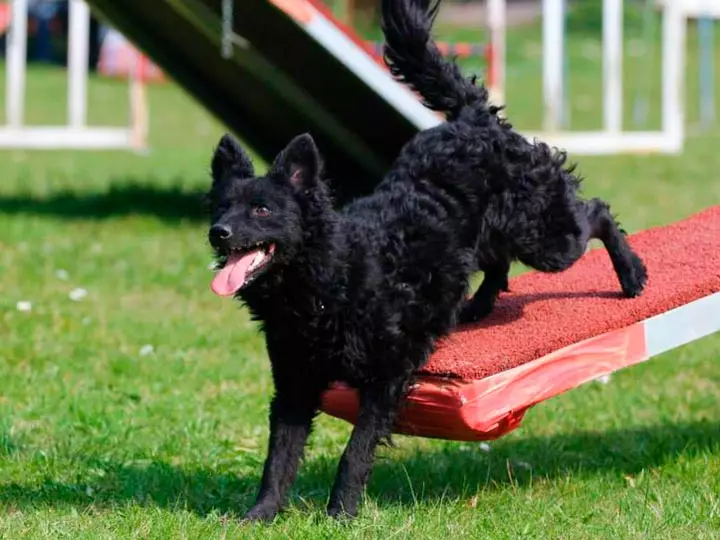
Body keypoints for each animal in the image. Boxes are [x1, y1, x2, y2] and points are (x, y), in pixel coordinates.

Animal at [204, 0, 648, 524]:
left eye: (261, 210)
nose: (218, 232)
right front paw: (261, 515)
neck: (330, 278)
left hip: (545, 238)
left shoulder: (385, 376)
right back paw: (475, 308)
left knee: (596, 212)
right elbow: (279, 457)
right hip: (498, 233)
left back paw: (631, 275)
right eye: (221, 207)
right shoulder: (293, 383)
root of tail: (473, 119)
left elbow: (354, 451)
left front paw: (341, 512)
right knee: (496, 263)